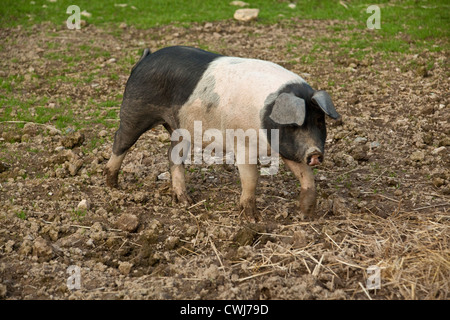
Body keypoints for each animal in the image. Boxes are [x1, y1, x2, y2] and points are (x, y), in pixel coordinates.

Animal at [104, 45, 338, 220]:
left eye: (319, 121)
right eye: (293, 125)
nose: (315, 153)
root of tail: (145, 59)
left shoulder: (289, 148)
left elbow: (307, 177)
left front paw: (305, 215)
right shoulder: (243, 144)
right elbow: (251, 178)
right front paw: (253, 219)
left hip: (181, 129)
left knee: (173, 156)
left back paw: (185, 201)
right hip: (135, 109)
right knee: (120, 141)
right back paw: (113, 185)